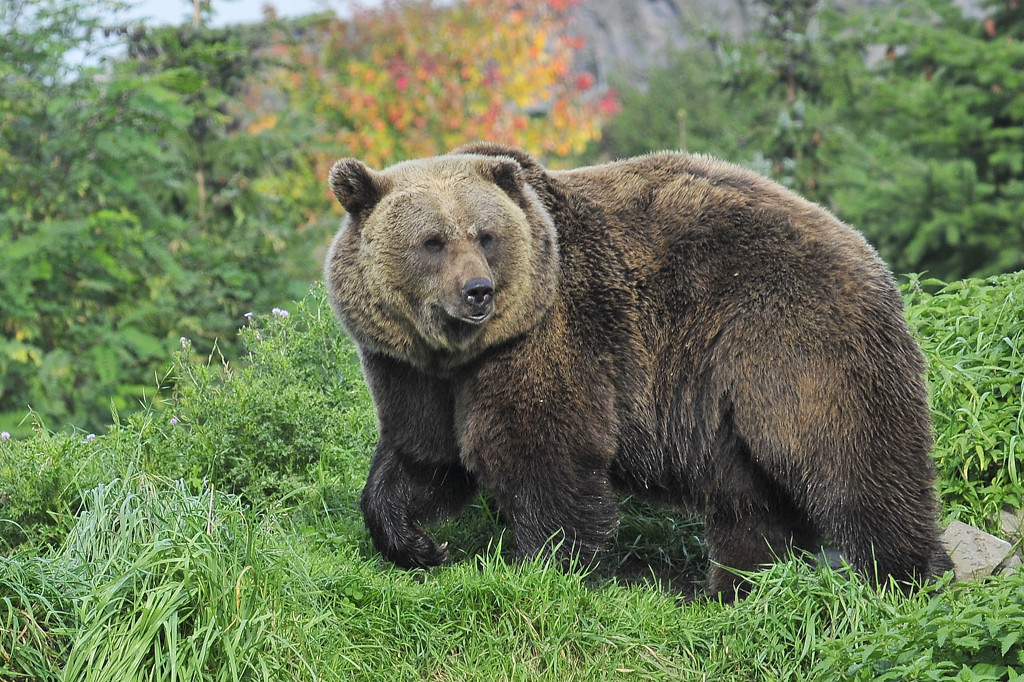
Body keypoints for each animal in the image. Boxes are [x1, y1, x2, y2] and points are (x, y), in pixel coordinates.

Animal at [323, 142, 954, 593]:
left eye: (486, 235)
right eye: (432, 241)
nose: (478, 291)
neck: (460, 350)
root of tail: (863, 248)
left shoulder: (544, 339)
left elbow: (543, 454)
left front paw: (551, 567)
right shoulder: (409, 368)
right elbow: (425, 454)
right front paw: (415, 543)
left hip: (790, 338)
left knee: (850, 459)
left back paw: (907, 575)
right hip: (731, 396)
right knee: (750, 502)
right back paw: (736, 588)